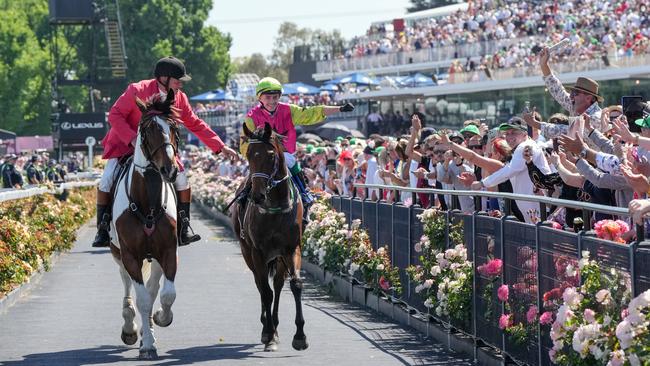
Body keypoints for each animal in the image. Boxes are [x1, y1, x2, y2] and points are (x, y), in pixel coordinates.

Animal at [109, 89, 180, 360]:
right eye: (148, 129)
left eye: (173, 128)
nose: (169, 169)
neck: (147, 202)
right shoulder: (130, 254)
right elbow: (141, 299)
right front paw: (147, 344)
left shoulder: (168, 251)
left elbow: (166, 294)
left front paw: (160, 319)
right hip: (118, 253)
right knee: (128, 285)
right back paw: (130, 326)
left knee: (153, 289)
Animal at [233, 122, 308, 352]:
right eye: (249, 154)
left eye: (271, 155)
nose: (257, 195)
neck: (276, 205)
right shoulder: (257, 251)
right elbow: (264, 291)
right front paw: (268, 334)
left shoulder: (291, 248)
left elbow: (295, 285)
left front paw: (300, 336)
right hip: (248, 252)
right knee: (261, 284)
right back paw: (267, 326)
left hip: (279, 257)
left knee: (277, 284)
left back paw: (274, 324)